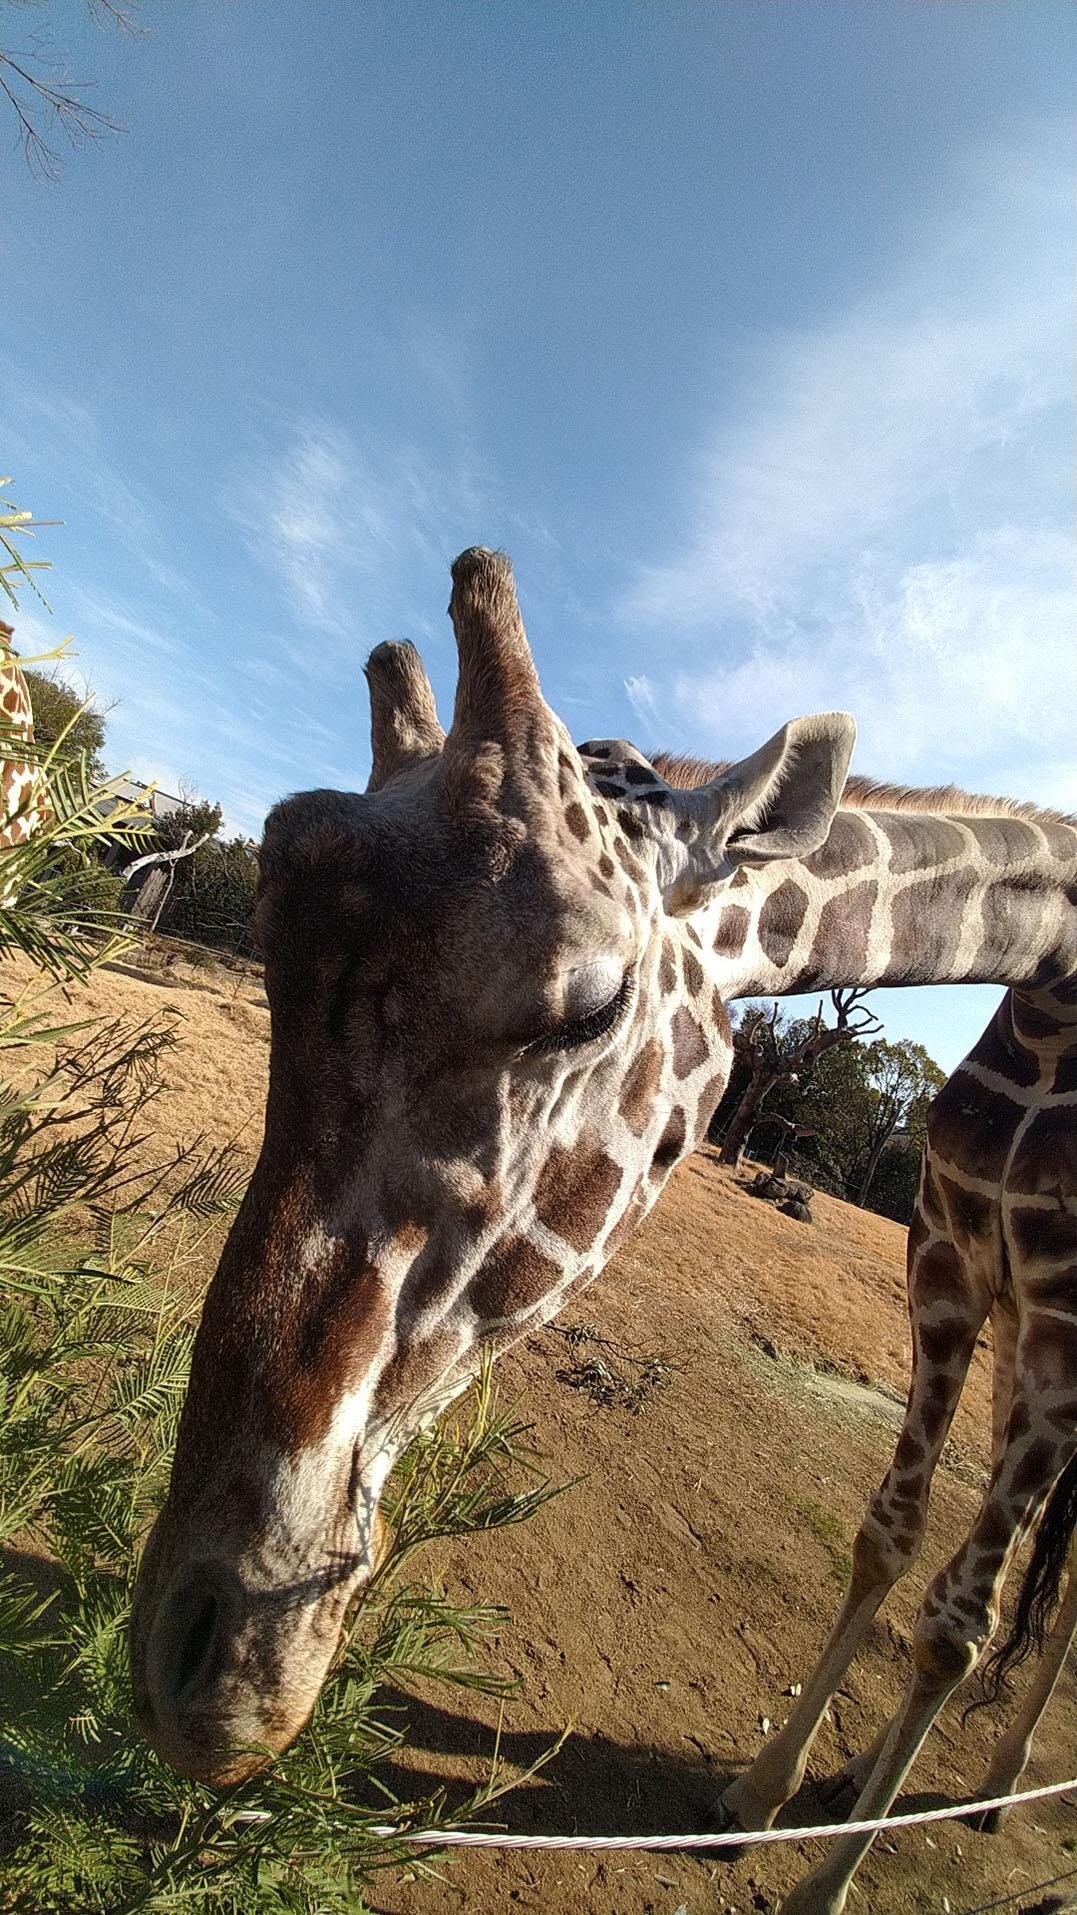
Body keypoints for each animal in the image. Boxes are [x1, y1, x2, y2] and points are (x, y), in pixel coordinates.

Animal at [127, 547, 1073, 1907]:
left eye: (587, 1005)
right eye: (270, 958)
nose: (195, 1662)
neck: (1056, 986)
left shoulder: (1058, 1331)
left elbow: (957, 1618)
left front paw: (825, 1879)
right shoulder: (944, 1264)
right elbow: (890, 1540)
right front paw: (759, 1798)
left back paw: (984, 1792)